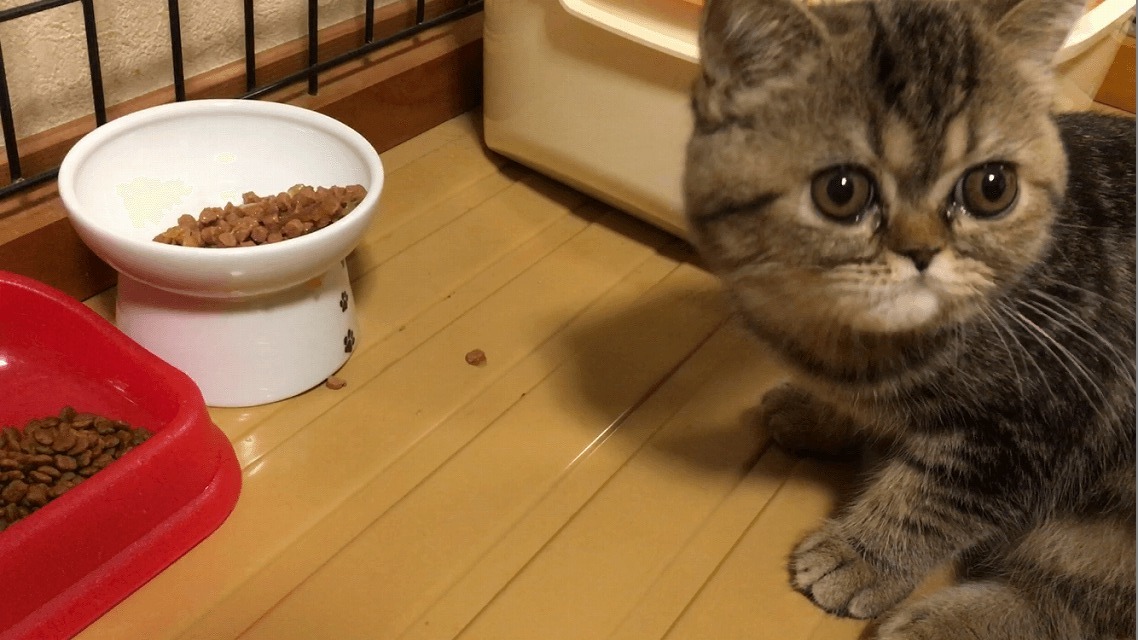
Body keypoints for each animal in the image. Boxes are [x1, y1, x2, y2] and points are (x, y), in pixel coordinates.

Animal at [682, 0, 1138, 633]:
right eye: (841, 191)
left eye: (992, 187)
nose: (921, 250)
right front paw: (816, 410)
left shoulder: (1041, 419)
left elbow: (933, 499)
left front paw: (863, 555)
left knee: (1078, 608)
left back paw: (938, 624)